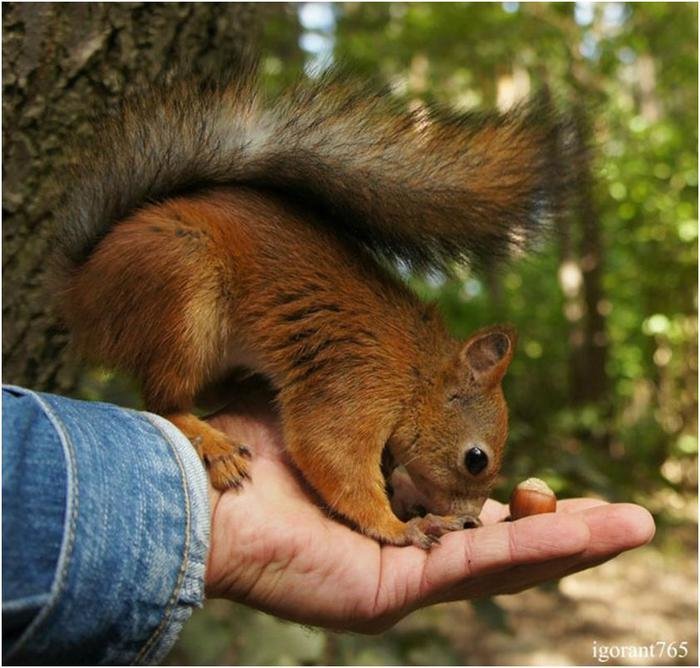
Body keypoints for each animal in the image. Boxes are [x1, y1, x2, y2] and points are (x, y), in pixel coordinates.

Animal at [51, 69, 572, 548]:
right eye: (476, 459)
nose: (472, 517)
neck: (416, 373)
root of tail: (83, 285)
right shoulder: (358, 385)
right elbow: (329, 452)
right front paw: (402, 526)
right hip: (184, 291)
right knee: (165, 401)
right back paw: (215, 444)